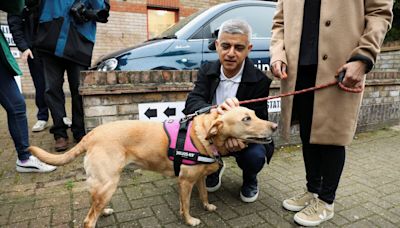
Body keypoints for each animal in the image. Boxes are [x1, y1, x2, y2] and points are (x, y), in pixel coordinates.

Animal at [28, 106, 278, 226]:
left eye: (255, 114)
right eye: (246, 119)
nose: (274, 126)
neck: (204, 137)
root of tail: (90, 135)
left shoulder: (197, 179)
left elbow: (205, 194)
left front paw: (207, 206)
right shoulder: (185, 182)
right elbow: (185, 205)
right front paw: (189, 220)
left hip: (102, 185)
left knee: (94, 206)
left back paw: (105, 211)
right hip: (108, 183)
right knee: (88, 220)